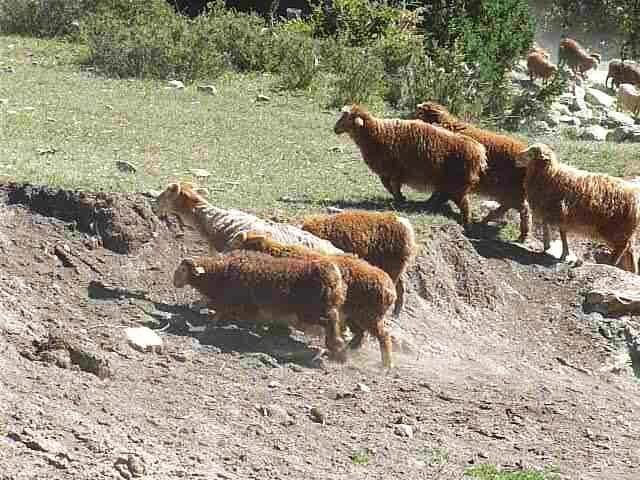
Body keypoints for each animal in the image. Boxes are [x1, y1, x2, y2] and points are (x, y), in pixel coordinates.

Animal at [173, 252, 349, 361]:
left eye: (183, 269)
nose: (174, 282)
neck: (219, 273)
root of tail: (333, 277)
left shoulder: (234, 301)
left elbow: (219, 314)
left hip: (311, 311)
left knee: (330, 321)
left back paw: (335, 346)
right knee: (333, 319)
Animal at [229, 231, 396, 368]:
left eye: (237, 243)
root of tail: (390, 289)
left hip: (368, 316)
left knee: (383, 336)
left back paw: (386, 364)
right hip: (355, 316)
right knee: (360, 334)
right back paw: (346, 350)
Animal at [334, 105, 488, 226]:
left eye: (348, 117)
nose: (335, 128)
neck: (376, 133)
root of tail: (480, 152)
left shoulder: (393, 170)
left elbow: (393, 187)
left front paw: (399, 200)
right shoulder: (388, 171)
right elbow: (389, 186)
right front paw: (402, 198)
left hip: (458, 184)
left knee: (464, 205)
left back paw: (466, 223)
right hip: (449, 183)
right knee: (444, 196)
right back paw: (429, 205)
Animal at [414, 102, 532, 242]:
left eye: (422, 112)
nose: (417, 107)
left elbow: (442, 192)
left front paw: (429, 204)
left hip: (513, 190)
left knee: (522, 210)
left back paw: (521, 235)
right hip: (510, 191)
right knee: (509, 206)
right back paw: (485, 221)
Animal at [515, 143, 640, 273]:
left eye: (531, 153)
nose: (516, 158)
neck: (550, 175)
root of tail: (635, 198)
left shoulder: (556, 211)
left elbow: (555, 230)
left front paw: (550, 248)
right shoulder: (559, 215)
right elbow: (560, 232)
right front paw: (562, 253)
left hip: (616, 230)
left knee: (622, 248)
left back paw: (611, 264)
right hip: (625, 231)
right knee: (631, 250)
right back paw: (632, 270)